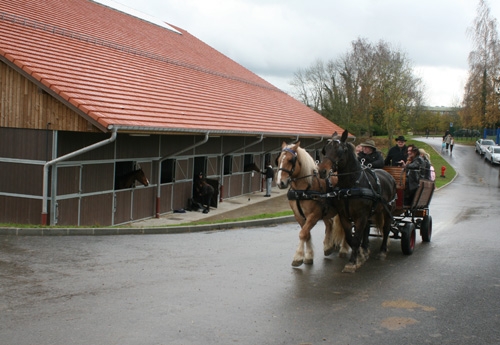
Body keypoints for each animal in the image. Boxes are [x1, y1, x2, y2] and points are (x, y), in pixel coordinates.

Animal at [318, 129, 396, 272]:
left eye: (340, 151)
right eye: (325, 150)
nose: (322, 171)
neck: (351, 186)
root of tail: (389, 176)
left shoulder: (361, 216)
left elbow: (356, 238)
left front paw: (352, 262)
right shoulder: (344, 215)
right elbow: (351, 238)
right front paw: (358, 256)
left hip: (388, 210)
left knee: (386, 228)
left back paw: (382, 251)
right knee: (367, 229)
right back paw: (365, 250)